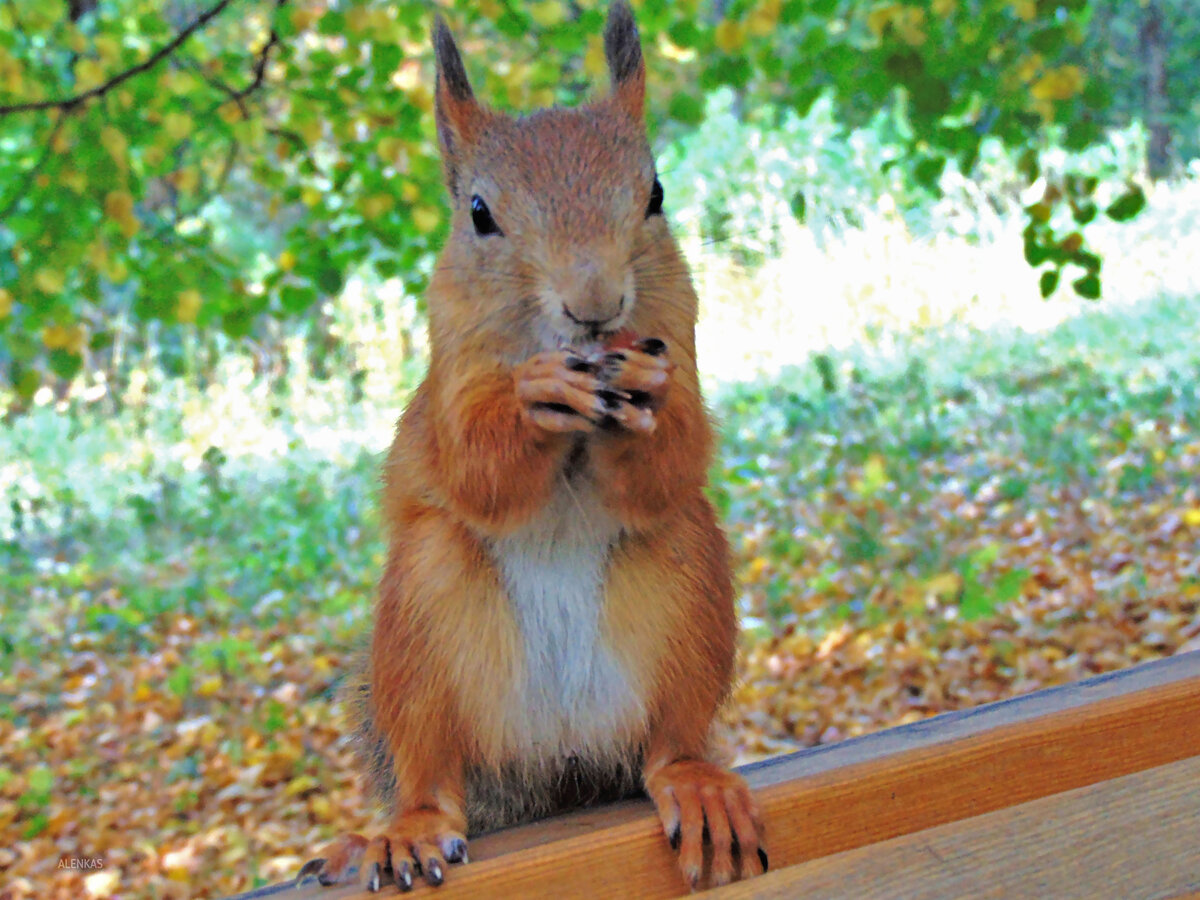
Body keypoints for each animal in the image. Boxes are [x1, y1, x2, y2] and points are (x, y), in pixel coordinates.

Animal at [298, 2, 764, 892]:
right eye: (480, 214)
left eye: (655, 193)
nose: (595, 304)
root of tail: (557, 766)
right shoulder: (450, 370)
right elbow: (475, 469)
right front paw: (533, 398)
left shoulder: (678, 333)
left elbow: (677, 460)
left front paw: (648, 398)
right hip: (422, 623)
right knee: (432, 771)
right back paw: (403, 830)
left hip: (685, 590)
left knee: (668, 744)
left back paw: (696, 783)